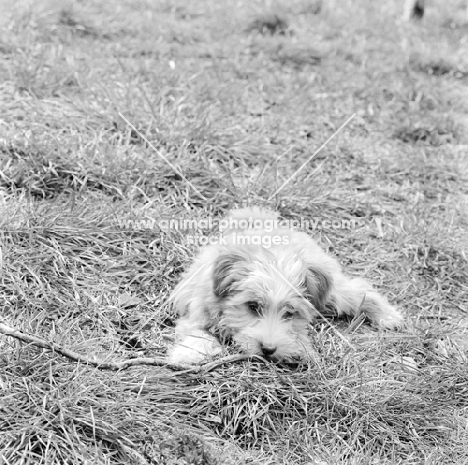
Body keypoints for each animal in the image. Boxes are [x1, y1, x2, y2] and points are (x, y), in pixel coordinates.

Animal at [167, 208, 402, 364]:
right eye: (253, 306)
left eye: (289, 313)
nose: (268, 349)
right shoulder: (197, 310)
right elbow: (199, 334)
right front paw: (187, 354)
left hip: (333, 294)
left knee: (360, 289)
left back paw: (388, 316)